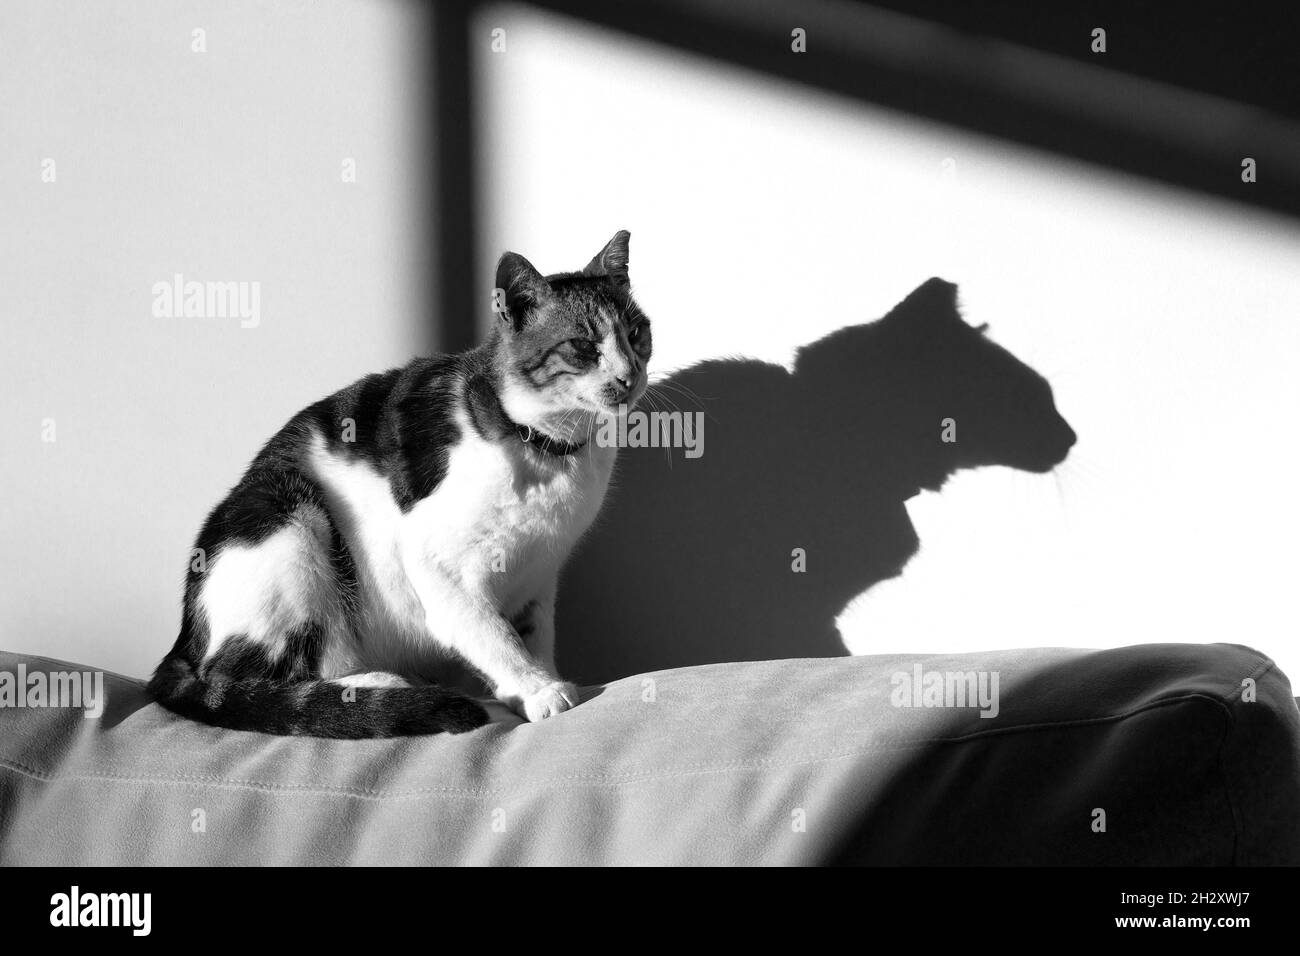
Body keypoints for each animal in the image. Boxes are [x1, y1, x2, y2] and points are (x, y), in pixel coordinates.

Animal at [148, 231, 650, 738]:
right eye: (582, 345)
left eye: (636, 333)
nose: (629, 376)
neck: (549, 451)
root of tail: (183, 639)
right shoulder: (438, 564)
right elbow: (492, 633)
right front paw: (538, 688)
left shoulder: (539, 577)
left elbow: (532, 635)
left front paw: (533, 681)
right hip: (288, 520)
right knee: (246, 675)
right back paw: (380, 687)